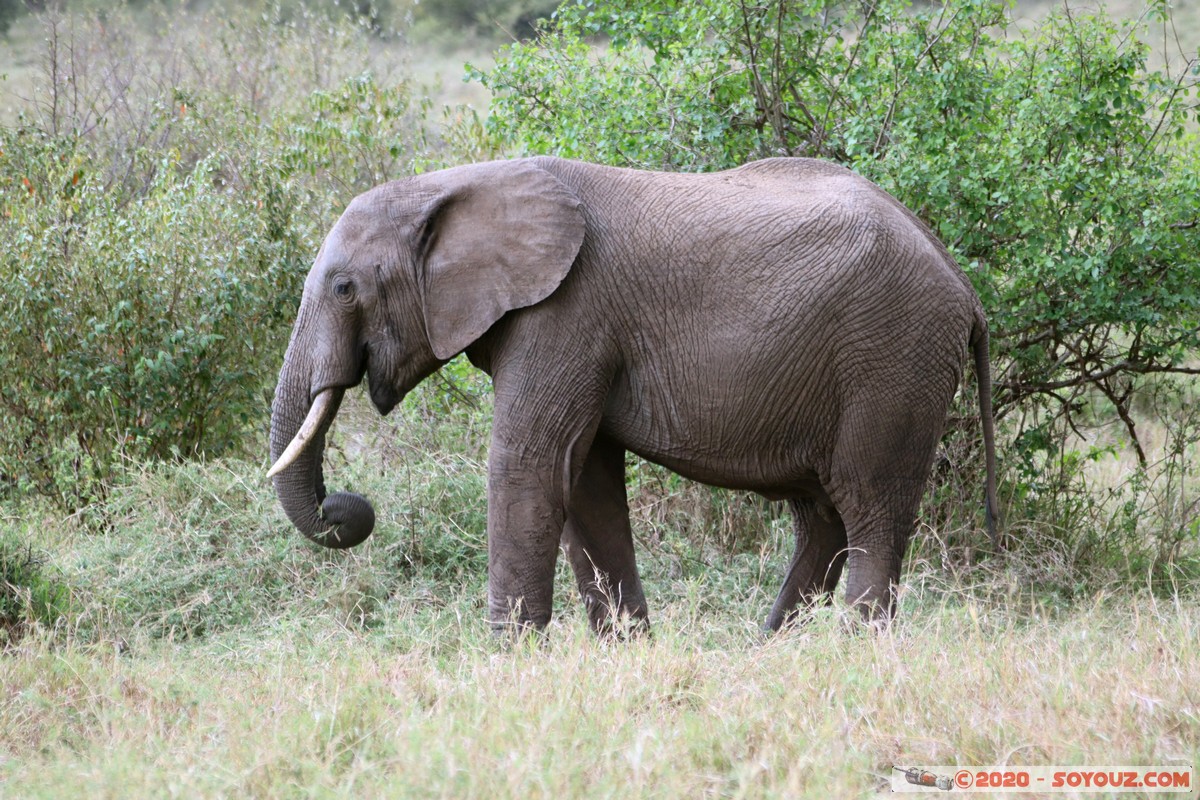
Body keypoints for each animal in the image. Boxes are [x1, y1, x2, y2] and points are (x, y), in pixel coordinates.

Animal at [267, 154, 998, 633]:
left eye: (344, 288)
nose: (344, 507)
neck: (449, 185)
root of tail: (962, 285)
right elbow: (585, 483)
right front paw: (625, 653)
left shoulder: (565, 312)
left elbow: (527, 466)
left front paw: (509, 664)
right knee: (823, 517)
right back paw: (773, 651)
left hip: (893, 359)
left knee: (870, 508)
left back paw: (851, 652)